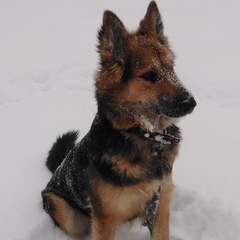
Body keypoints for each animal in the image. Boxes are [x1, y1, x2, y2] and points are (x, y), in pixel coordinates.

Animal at [42, 0, 197, 239]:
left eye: (172, 67)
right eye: (150, 75)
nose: (191, 103)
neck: (143, 135)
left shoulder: (160, 204)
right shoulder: (104, 219)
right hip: (68, 215)